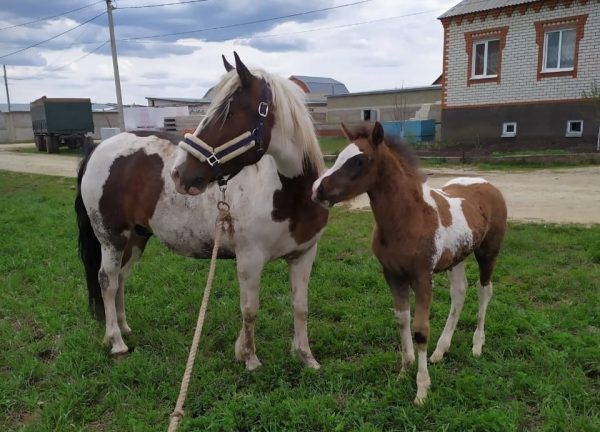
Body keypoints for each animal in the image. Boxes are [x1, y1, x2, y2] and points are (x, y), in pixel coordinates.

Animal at [76, 53, 328, 372]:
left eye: (229, 113)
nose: (179, 173)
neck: (288, 193)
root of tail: (97, 150)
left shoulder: (304, 255)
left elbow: (301, 307)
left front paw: (305, 356)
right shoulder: (250, 259)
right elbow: (250, 310)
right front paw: (250, 358)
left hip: (136, 238)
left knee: (120, 278)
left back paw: (124, 328)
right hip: (112, 238)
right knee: (107, 281)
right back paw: (116, 341)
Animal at [314, 122, 506, 404]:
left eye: (360, 160)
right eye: (338, 155)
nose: (317, 190)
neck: (408, 218)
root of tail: (487, 183)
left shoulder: (422, 277)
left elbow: (420, 330)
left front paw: (422, 389)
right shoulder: (392, 275)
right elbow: (402, 320)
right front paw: (404, 371)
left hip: (487, 253)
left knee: (485, 291)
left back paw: (477, 345)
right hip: (457, 257)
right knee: (460, 291)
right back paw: (440, 351)